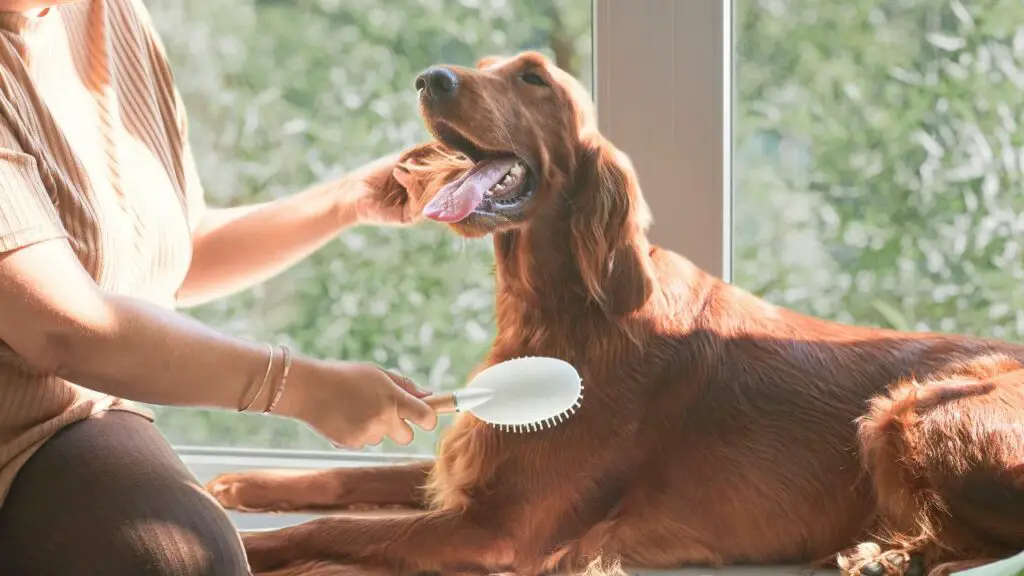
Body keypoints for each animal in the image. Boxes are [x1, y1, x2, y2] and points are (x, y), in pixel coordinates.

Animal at [207, 51, 1024, 569]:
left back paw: (880, 554)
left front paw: (245, 543)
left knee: (978, 545)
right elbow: (353, 481)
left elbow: (331, 526)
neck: (560, 314)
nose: (429, 77)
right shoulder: (471, 469)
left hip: (905, 411)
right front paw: (247, 486)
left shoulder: (499, 529)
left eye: (532, 77)